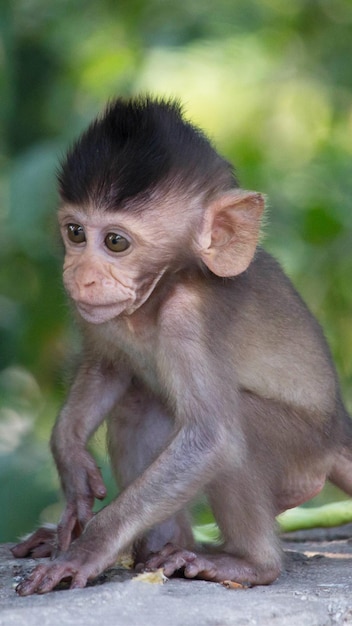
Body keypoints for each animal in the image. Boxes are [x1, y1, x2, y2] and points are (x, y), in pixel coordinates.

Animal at [12, 95, 352, 592]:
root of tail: (339, 430)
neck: (157, 294)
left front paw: (87, 550)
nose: (80, 275)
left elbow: (213, 438)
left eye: (115, 242)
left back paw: (249, 564)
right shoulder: (99, 316)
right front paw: (71, 461)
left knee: (239, 425)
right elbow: (109, 367)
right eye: (75, 232)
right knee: (137, 406)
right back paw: (163, 545)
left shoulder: (189, 320)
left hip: (304, 449)